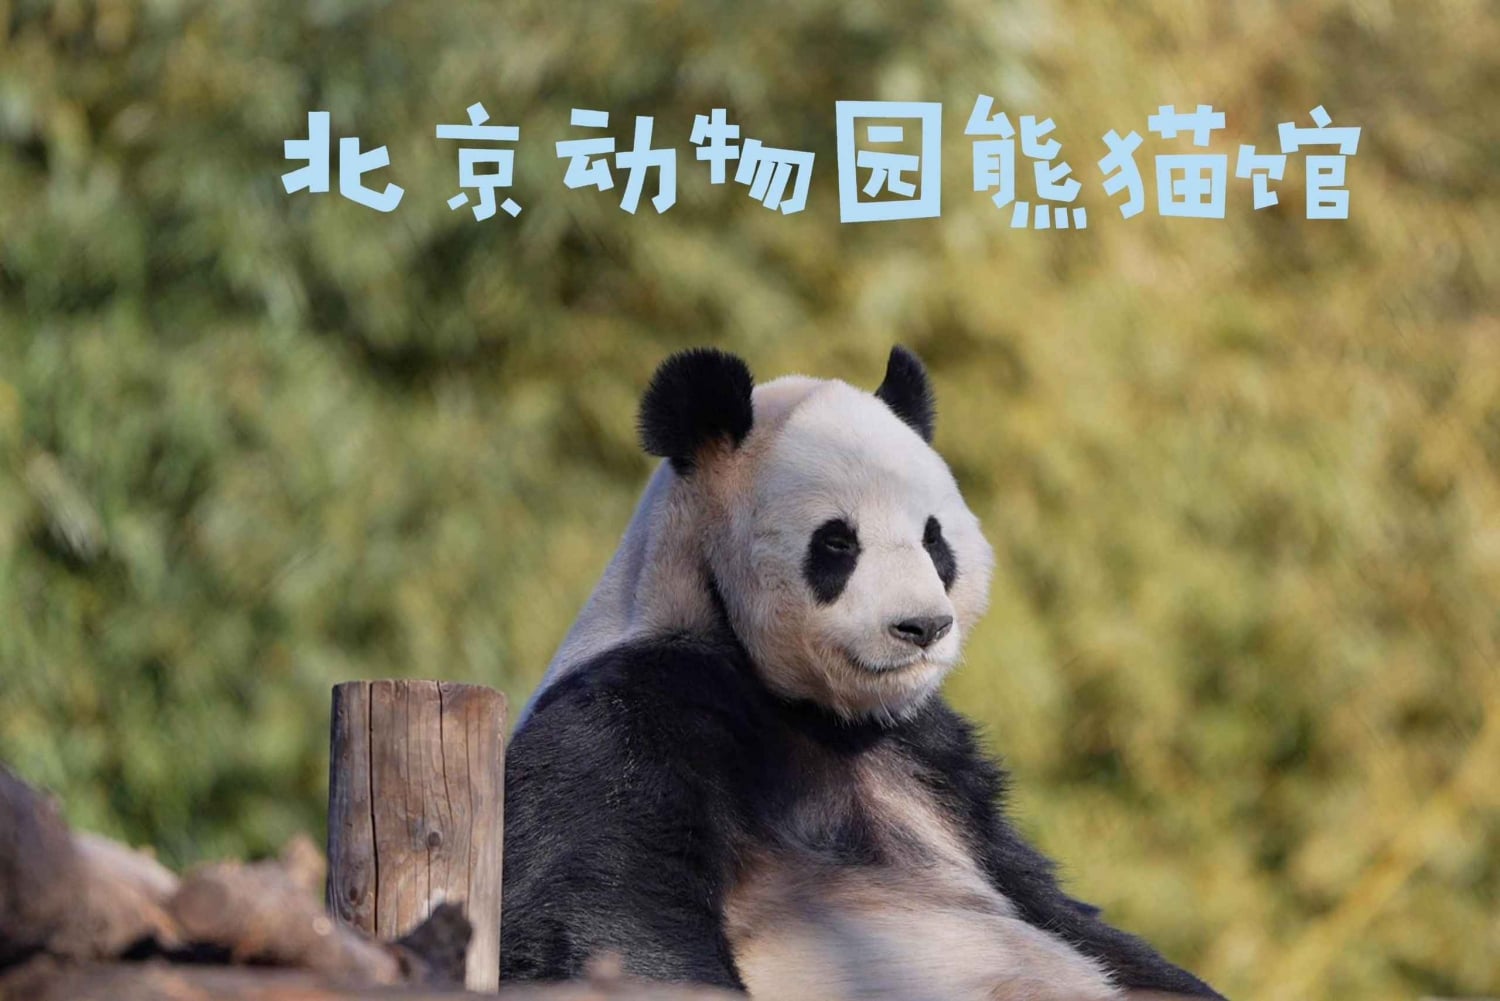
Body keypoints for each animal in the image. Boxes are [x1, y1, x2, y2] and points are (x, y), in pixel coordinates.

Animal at [500, 346, 1223, 1001]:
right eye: (838, 542)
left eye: (934, 538)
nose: (922, 627)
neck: (804, 704)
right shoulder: (630, 713)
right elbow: (608, 907)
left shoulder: (929, 758)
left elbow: (1056, 908)